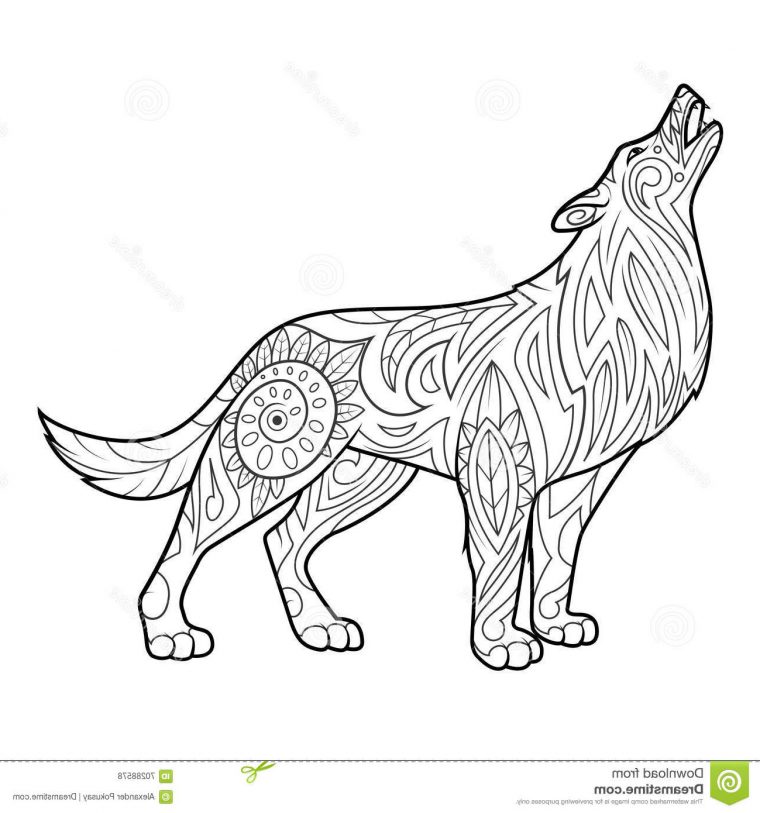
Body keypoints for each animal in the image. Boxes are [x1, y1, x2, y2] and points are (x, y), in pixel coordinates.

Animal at [41, 84, 721, 670]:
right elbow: (500, 564)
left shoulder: (579, 479)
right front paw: (501, 644)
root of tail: (269, 339)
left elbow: (557, 559)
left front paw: (556, 626)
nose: (687, 90)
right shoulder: (500, 465)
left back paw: (320, 627)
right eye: (637, 149)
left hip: (361, 476)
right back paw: (169, 634)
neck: (625, 304)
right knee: (186, 543)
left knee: (284, 540)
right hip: (258, 470)